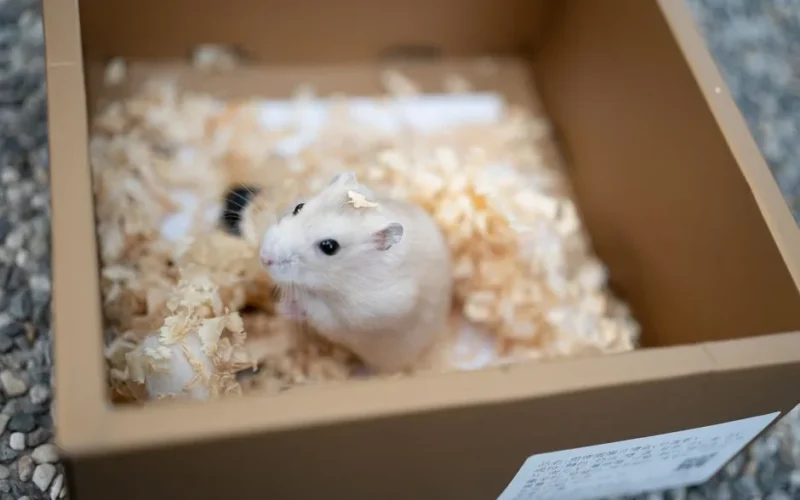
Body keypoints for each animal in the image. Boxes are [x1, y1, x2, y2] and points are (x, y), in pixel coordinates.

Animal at [258, 171, 453, 373]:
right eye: (298, 207)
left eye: (329, 247)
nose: (264, 259)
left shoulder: (359, 314)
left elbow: (316, 312)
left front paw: (284, 308)